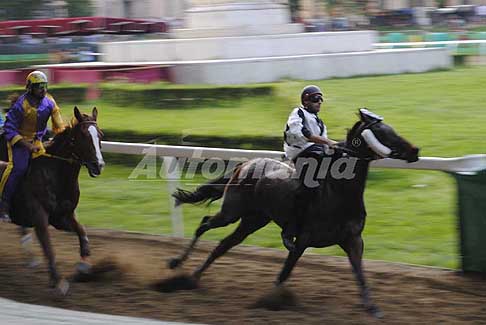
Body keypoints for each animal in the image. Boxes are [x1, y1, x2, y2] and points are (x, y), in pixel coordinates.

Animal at [0, 107, 103, 294]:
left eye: (100, 134)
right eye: (83, 135)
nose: (98, 165)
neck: (56, 175)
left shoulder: (61, 216)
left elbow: (82, 232)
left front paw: (83, 267)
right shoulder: (39, 216)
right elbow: (48, 248)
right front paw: (58, 281)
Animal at [170, 109, 418, 316]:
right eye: (381, 133)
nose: (415, 151)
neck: (339, 193)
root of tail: (245, 164)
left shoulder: (353, 240)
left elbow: (360, 273)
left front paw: (372, 307)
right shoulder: (302, 240)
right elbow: (285, 272)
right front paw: (270, 300)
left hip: (253, 220)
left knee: (223, 245)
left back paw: (194, 277)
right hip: (232, 212)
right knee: (205, 223)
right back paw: (177, 264)